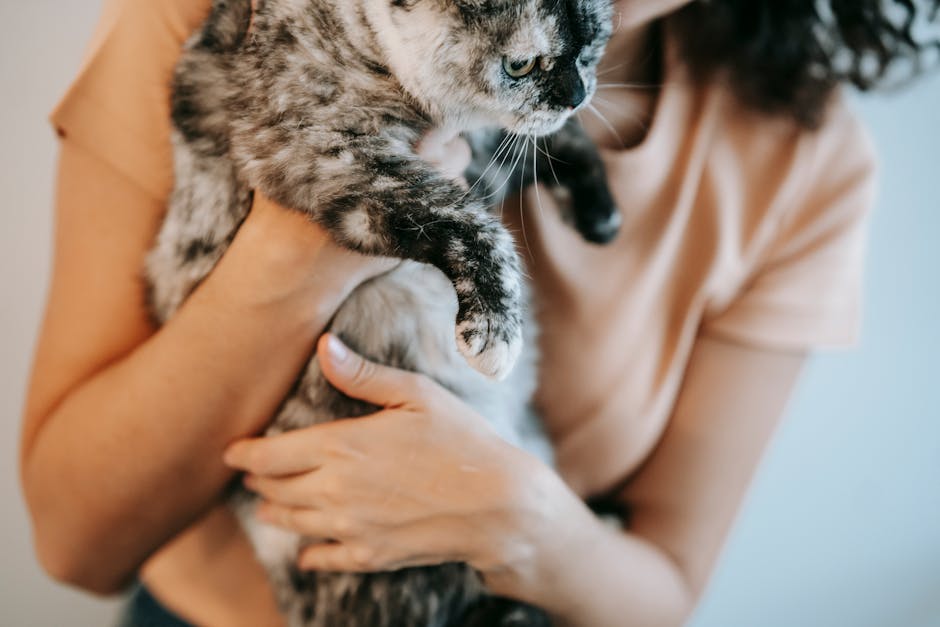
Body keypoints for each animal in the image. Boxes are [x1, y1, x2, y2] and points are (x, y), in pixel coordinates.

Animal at [145, 1, 616, 627]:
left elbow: (555, 142)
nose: (576, 94)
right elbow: (463, 218)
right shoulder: (322, 155)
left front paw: (600, 212)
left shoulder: (483, 150)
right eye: (520, 65)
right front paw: (494, 329)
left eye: (591, 46)